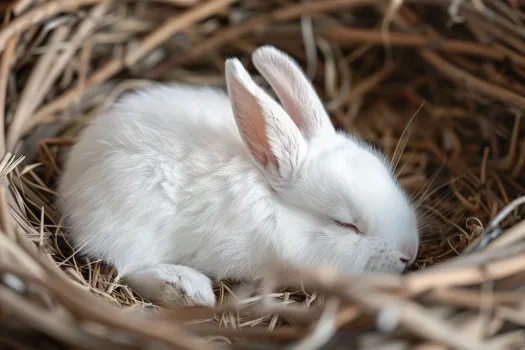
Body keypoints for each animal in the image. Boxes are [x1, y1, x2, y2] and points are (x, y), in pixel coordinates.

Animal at [56, 45, 418, 306]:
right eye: (345, 224)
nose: (409, 253)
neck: (275, 209)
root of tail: (72, 176)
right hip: (132, 223)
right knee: (126, 266)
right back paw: (188, 290)